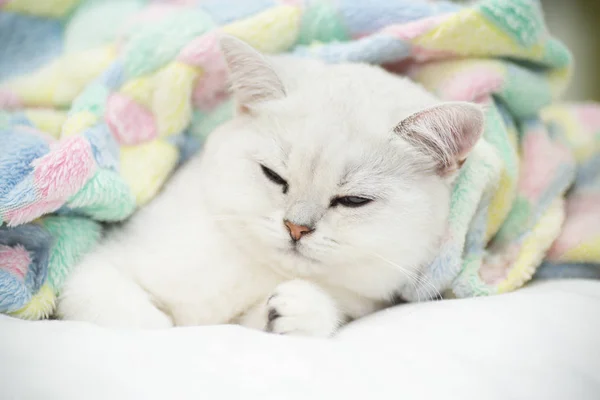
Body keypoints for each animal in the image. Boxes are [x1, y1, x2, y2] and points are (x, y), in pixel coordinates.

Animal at [58, 36, 486, 338]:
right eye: (274, 176)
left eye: (353, 200)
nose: (296, 228)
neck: (250, 268)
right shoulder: (98, 267)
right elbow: (142, 324)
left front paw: (294, 308)